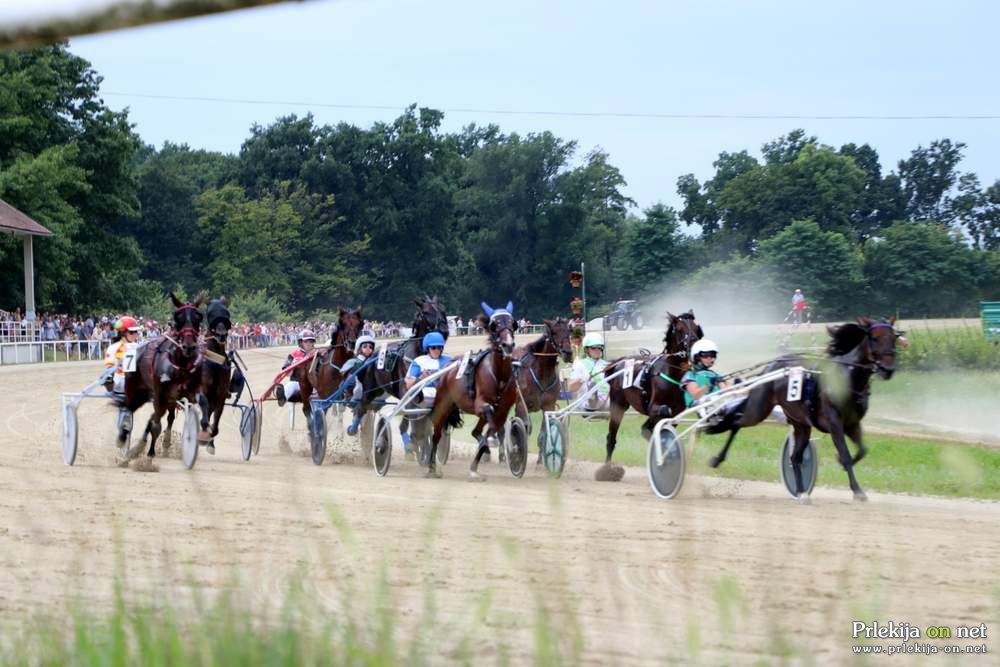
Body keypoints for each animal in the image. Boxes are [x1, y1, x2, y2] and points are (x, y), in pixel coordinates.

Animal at [115, 292, 205, 460]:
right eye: (178, 317)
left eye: (198, 317)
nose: (189, 346)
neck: (180, 365)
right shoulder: (160, 395)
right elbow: (155, 425)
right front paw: (150, 454)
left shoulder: (186, 396)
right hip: (135, 390)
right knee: (129, 411)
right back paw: (124, 442)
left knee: (164, 417)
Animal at [426, 302, 516, 480]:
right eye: (494, 325)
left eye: (513, 323)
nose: (508, 345)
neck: (499, 375)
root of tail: (447, 368)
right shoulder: (480, 403)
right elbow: (488, 411)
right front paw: (491, 440)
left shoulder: (503, 411)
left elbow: (494, 428)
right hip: (443, 407)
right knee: (436, 435)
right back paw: (431, 467)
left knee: (476, 431)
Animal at [512, 318, 576, 464]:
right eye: (554, 332)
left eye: (569, 331)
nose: (568, 353)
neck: (542, 374)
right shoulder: (521, 403)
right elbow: (524, 428)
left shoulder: (548, 405)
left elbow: (544, 432)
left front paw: (541, 462)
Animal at [596, 310, 708, 482]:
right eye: (680, 329)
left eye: (696, 328)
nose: (695, 347)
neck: (673, 374)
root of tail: (619, 362)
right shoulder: (654, 407)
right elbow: (663, 412)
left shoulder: (677, 412)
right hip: (618, 405)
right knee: (611, 438)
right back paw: (608, 470)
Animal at [704, 318, 908, 500]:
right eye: (874, 338)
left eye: (894, 337)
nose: (887, 369)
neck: (847, 379)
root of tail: (771, 366)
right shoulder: (834, 422)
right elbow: (846, 455)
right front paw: (857, 490)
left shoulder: (852, 424)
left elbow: (862, 450)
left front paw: (841, 464)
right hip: (758, 410)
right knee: (737, 422)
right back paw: (717, 459)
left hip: (801, 424)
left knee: (795, 458)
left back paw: (801, 492)